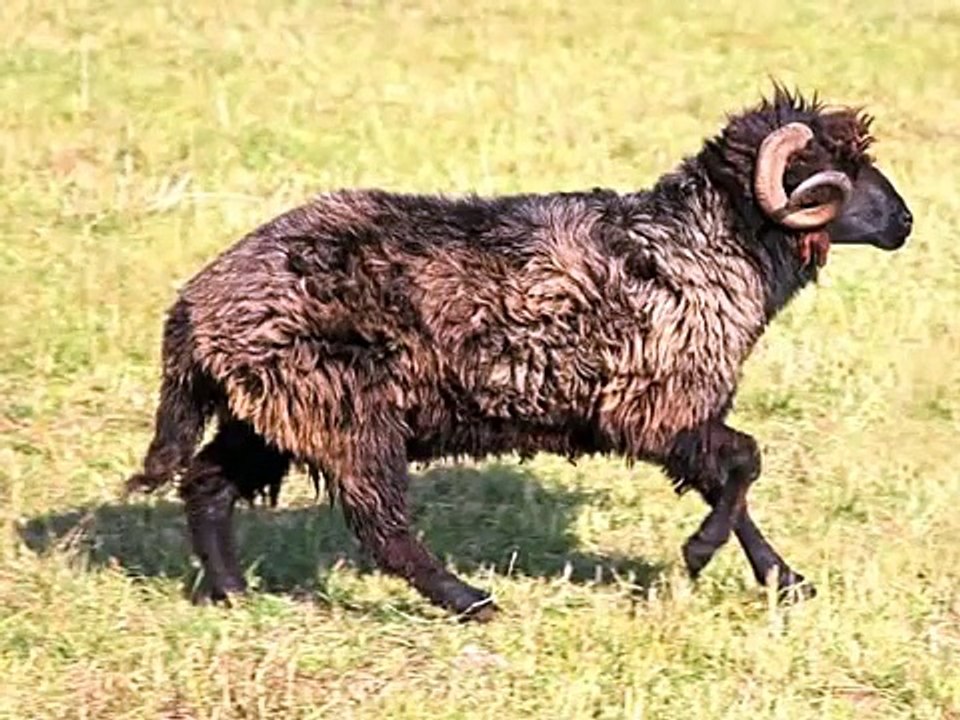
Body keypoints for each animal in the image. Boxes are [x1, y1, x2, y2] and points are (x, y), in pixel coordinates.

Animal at [126, 86, 913, 620]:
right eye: (836, 169)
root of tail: (196, 302)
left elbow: (732, 484)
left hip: (271, 412)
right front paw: (700, 555)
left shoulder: (680, 412)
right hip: (343, 415)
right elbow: (746, 465)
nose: (904, 221)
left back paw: (231, 593)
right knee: (382, 528)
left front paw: (786, 580)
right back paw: (470, 601)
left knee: (208, 485)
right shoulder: (658, 406)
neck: (705, 244)